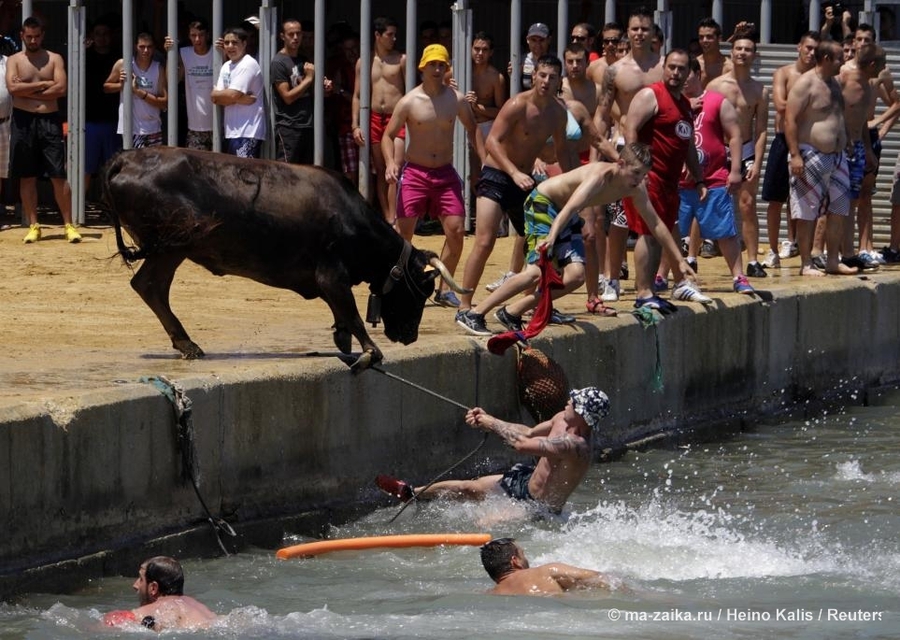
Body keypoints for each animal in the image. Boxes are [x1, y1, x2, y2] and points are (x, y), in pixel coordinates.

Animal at [102, 149, 468, 370]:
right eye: (419, 292)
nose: (410, 336)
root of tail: (129, 159)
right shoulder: (331, 274)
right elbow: (350, 311)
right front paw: (369, 350)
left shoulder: (328, 279)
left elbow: (341, 312)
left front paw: (343, 338)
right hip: (172, 246)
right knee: (150, 285)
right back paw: (187, 343)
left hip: (171, 249)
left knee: (150, 286)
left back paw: (185, 343)